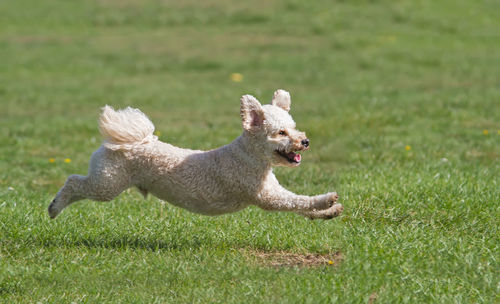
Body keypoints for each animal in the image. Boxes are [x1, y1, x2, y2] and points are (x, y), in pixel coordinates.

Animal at [47, 89, 344, 220]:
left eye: (294, 127)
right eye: (281, 133)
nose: (305, 141)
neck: (249, 157)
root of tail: (128, 140)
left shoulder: (270, 192)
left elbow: (300, 207)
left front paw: (330, 212)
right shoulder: (265, 196)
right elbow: (297, 201)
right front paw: (328, 199)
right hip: (107, 183)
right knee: (74, 182)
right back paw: (55, 207)